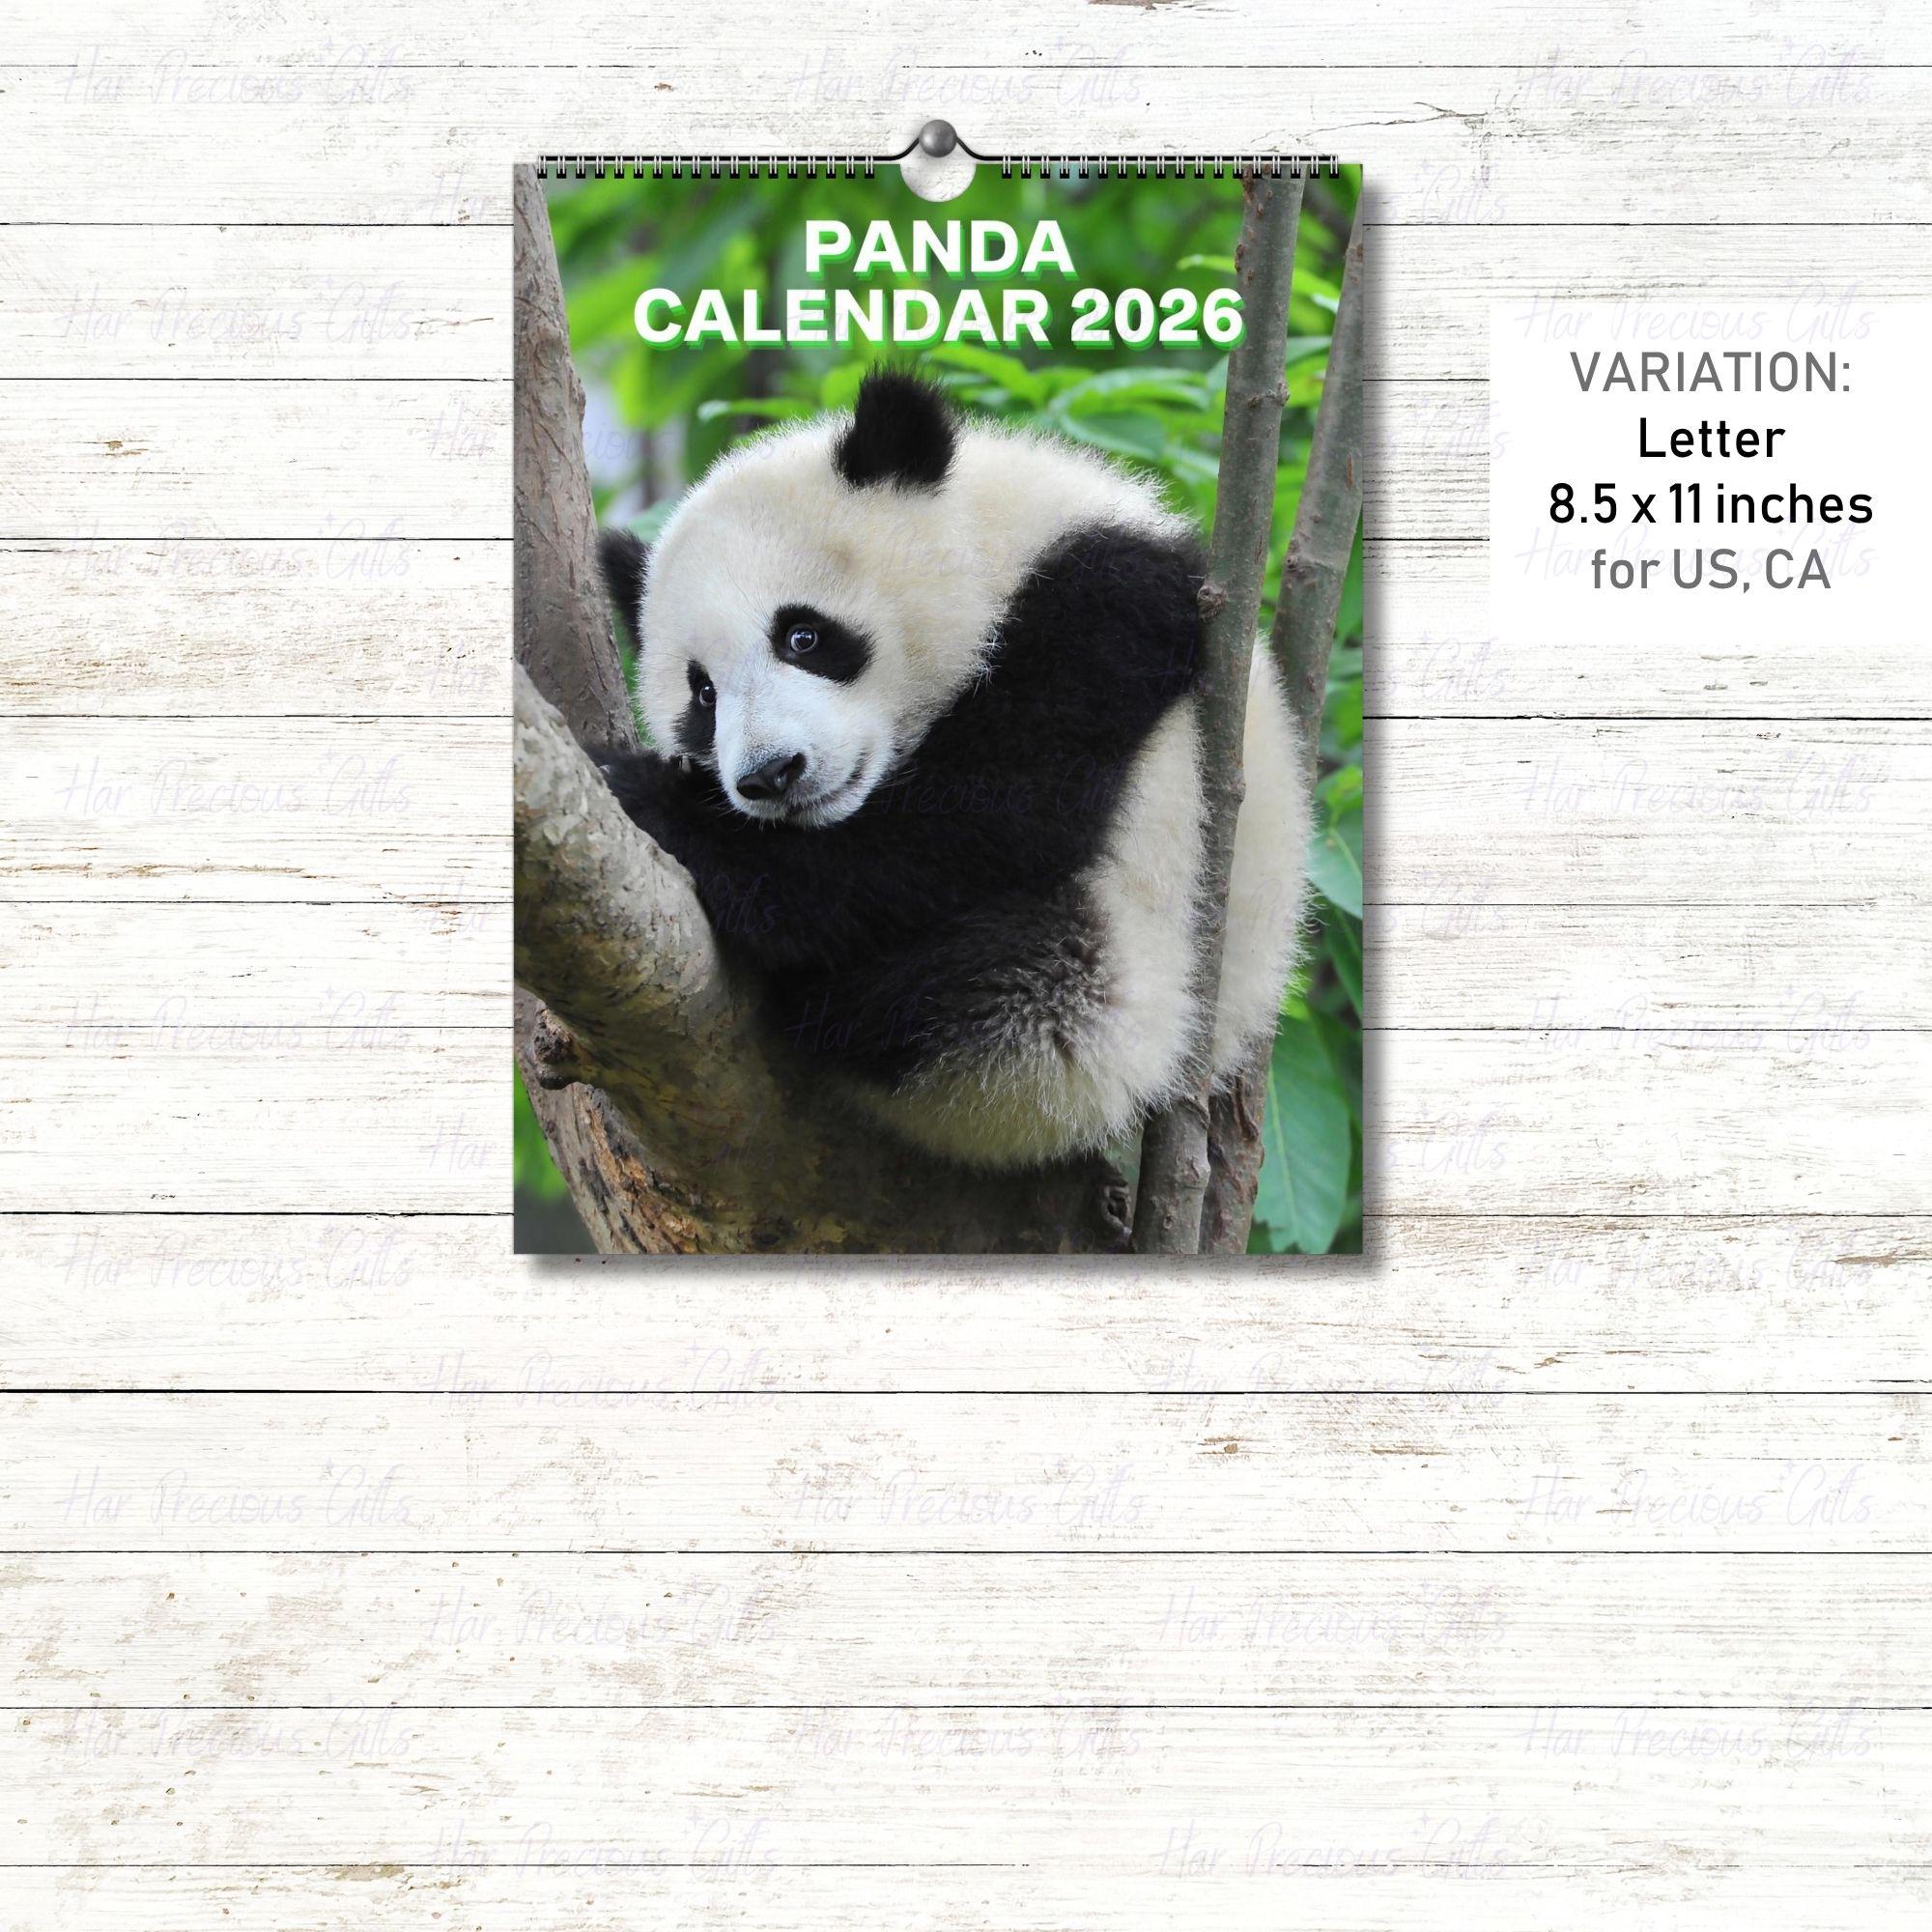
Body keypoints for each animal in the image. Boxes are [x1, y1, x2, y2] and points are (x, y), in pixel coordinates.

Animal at [594, 368, 1310, 1170]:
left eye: (803, 635)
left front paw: (648, 794)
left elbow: (984, 820)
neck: (991, 540)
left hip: (1108, 996)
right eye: (703, 696)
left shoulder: (1111, 601)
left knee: (995, 973)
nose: (772, 775)